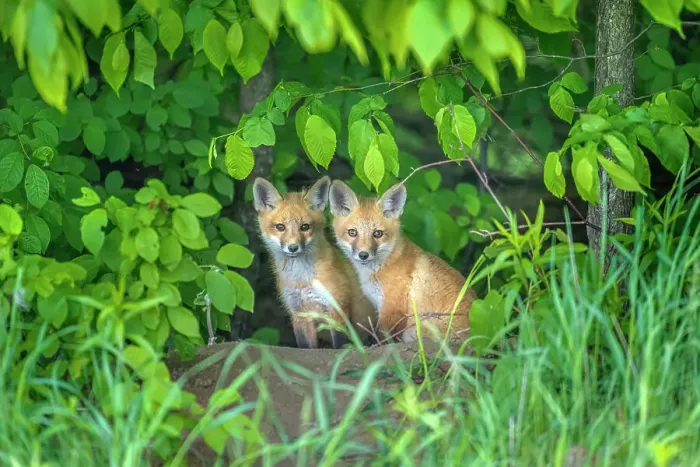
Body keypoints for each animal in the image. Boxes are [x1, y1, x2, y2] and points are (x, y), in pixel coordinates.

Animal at [252, 176, 377, 349]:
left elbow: (340, 343)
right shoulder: (298, 311)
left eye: (305, 227)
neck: (302, 279)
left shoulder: (337, 306)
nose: (293, 247)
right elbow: (306, 346)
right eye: (280, 227)